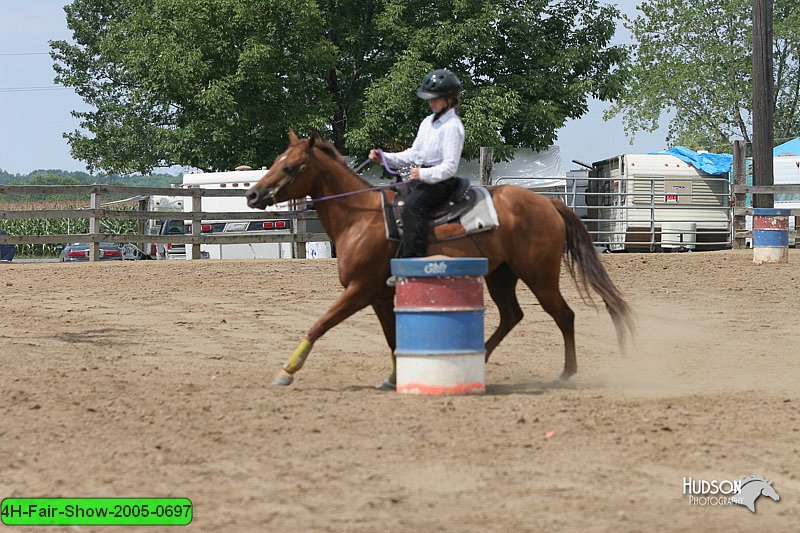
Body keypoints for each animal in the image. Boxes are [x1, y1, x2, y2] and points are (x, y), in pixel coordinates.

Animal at [244, 129, 632, 386]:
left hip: (539, 275)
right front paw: (394, 376)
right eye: (276, 161)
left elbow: (321, 323)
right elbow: (392, 339)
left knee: (564, 315)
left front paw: (287, 371)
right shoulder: (380, 296)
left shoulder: (359, 289)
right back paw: (482, 356)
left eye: (290, 168)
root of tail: (548, 203)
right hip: (501, 274)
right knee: (511, 316)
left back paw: (566, 373)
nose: (253, 195)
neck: (361, 217)